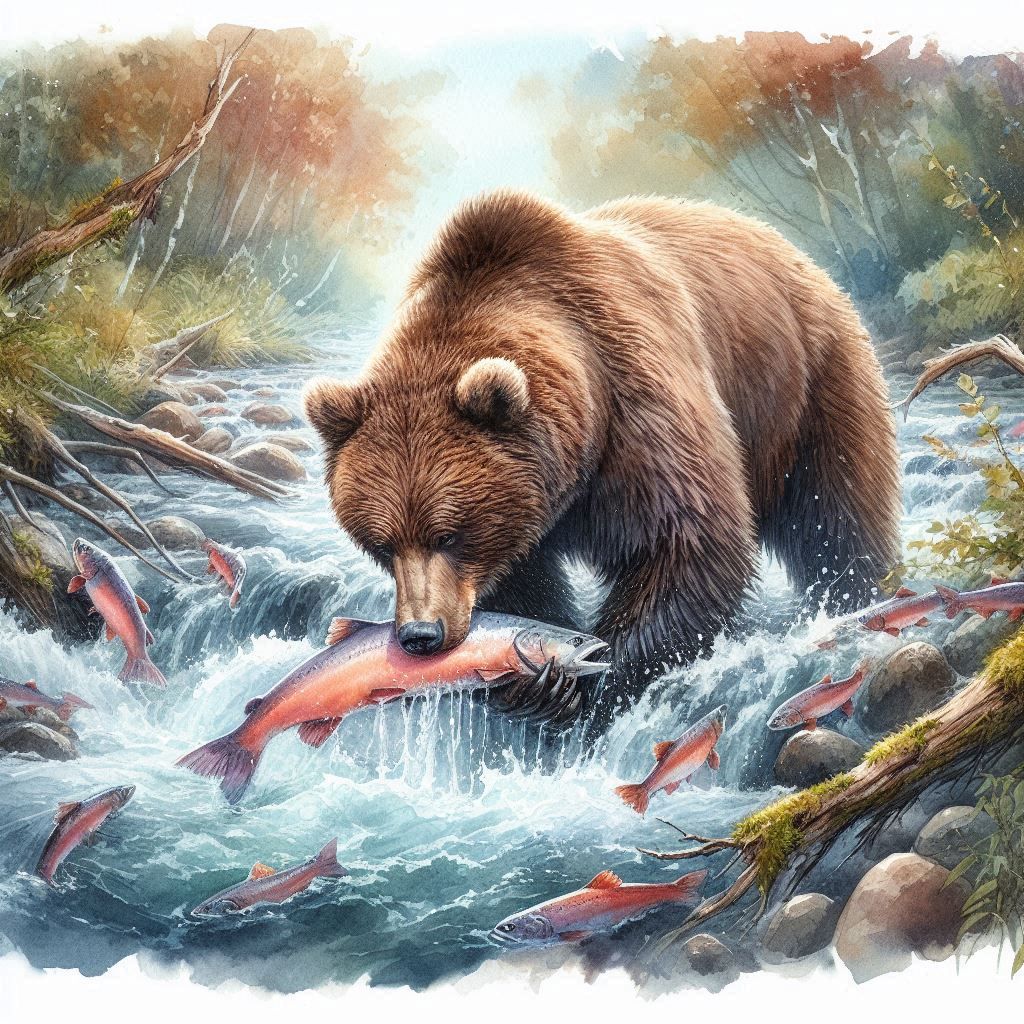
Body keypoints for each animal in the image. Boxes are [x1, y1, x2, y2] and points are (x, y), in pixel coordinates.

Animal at [304, 190, 901, 711]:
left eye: (449, 533)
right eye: (381, 543)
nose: (420, 634)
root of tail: (794, 252)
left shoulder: (636, 404)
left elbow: (686, 539)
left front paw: (588, 677)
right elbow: (518, 581)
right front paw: (538, 679)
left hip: (811, 384)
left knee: (837, 518)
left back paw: (860, 596)